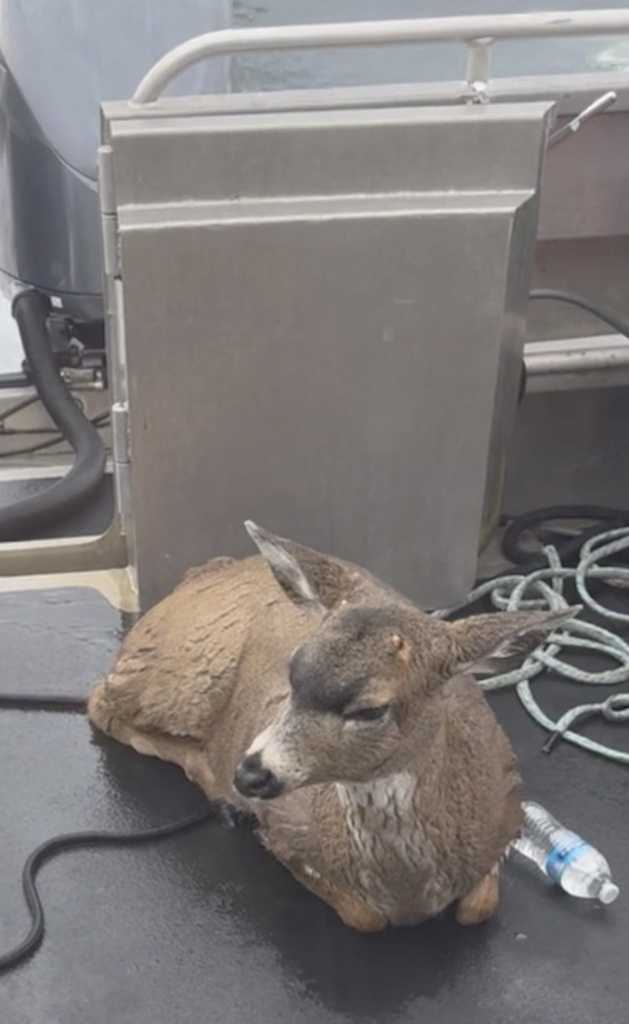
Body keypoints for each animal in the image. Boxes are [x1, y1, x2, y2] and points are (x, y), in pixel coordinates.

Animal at [88, 524, 577, 933]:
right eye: (292, 670)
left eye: (369, 710)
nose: (250, 773)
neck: (408, 891)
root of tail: (201, 573)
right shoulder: (288, 833)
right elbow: (364, 918)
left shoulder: (506, 808)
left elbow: (479, 907)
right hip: (177, 673)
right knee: (100, 703)